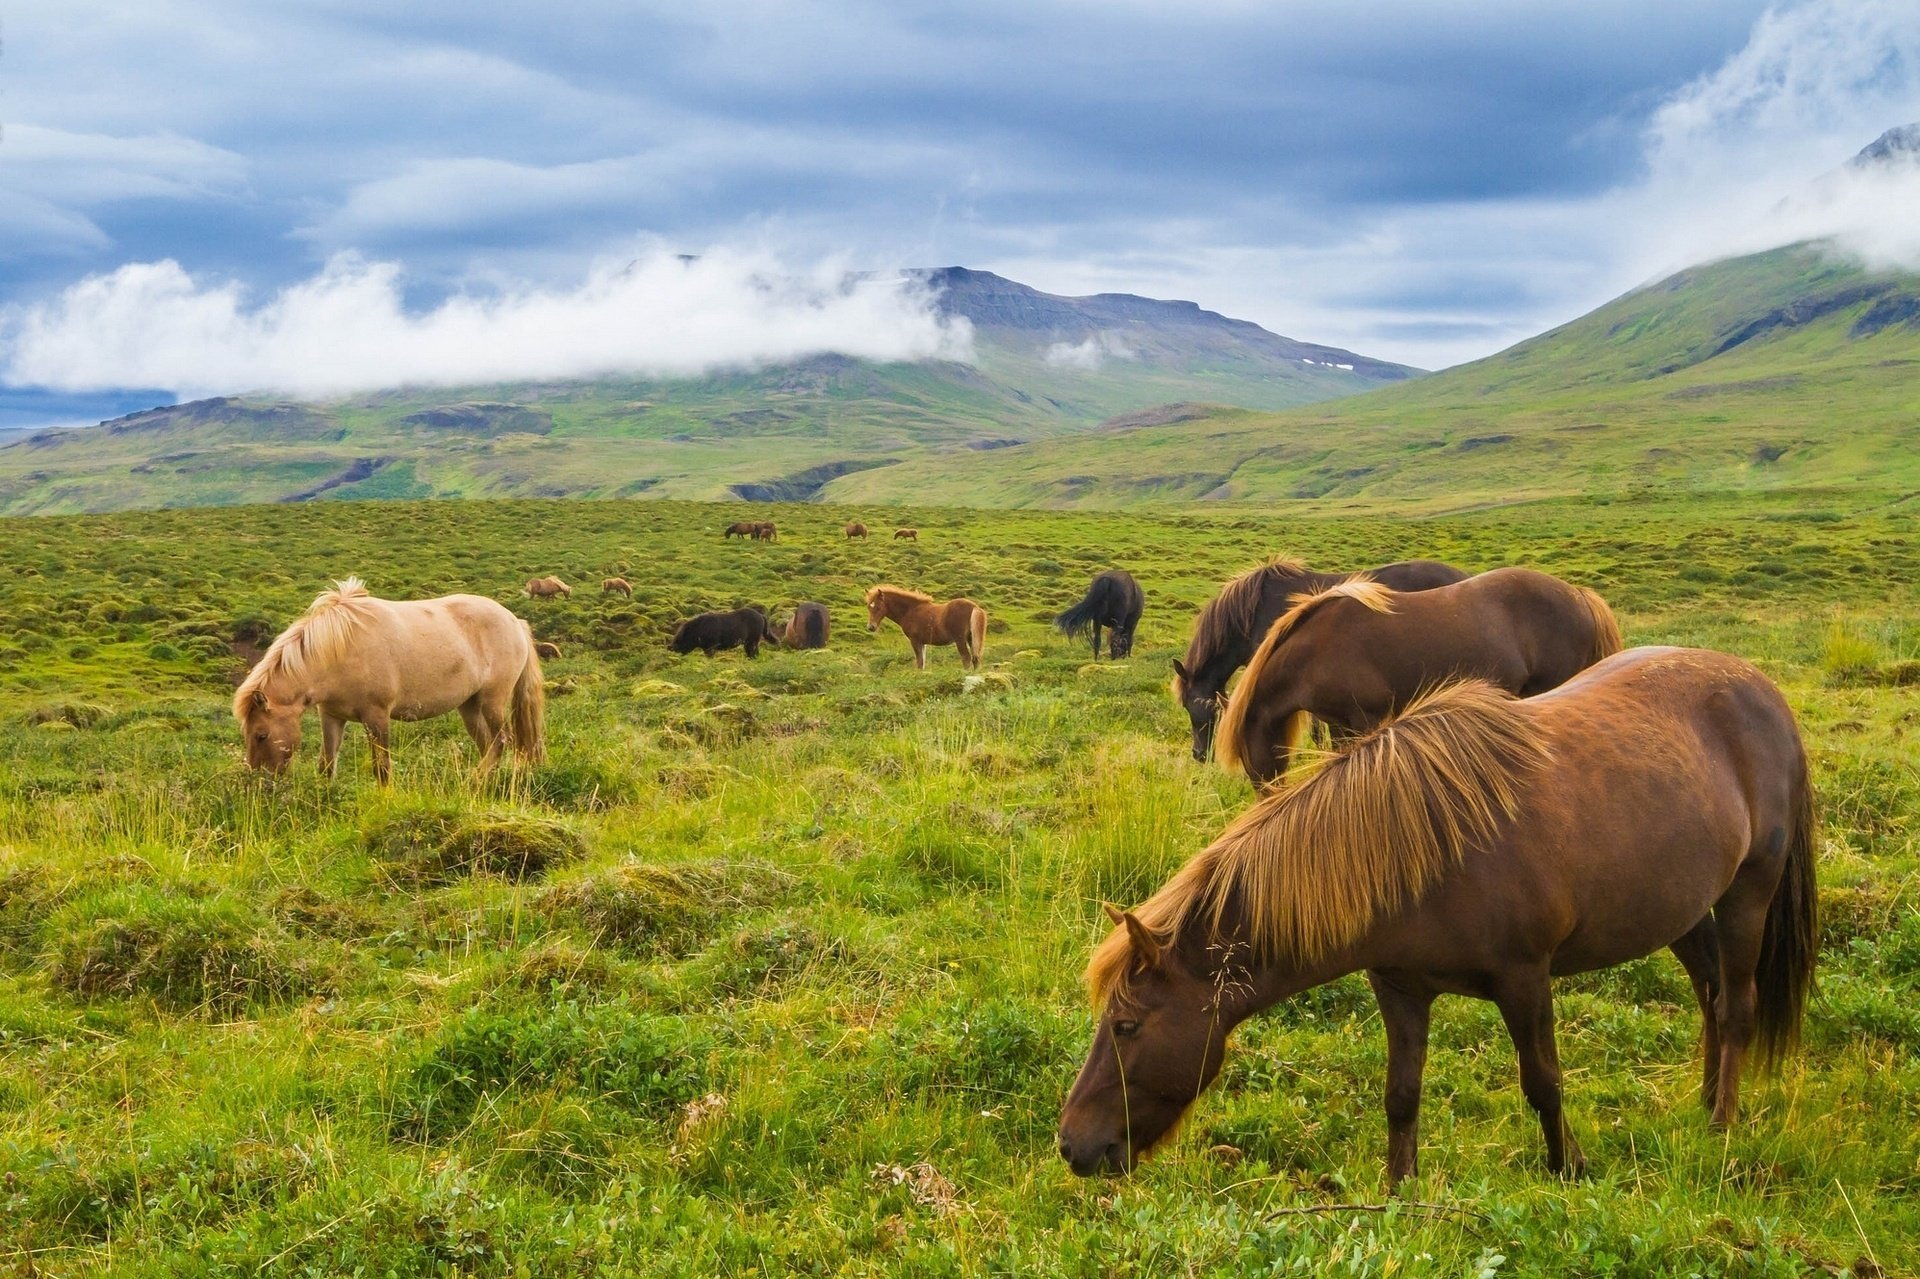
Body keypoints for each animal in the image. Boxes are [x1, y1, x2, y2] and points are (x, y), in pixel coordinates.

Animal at [234, 578, 545, 784]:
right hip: (469, 706)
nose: (258, 782)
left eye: (261, 735)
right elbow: (326, 764)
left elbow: (382, 767)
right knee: (488, 745)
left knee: (502, 740)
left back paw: (474, 782)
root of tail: (515, 621)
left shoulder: (377, 716)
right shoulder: (331, 716)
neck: (339, 651)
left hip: (492, 701)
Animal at [1060, 647, 1816, 1186]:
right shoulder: (1399, 988)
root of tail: (1761, 689)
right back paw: (1704, 1100)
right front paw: (1399, 1188)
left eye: (1126, 1025)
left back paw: (1721, 1123)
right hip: (1681, 909)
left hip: (1748, 893)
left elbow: (1543, 1080)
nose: (1072, 1143)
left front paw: (1568, 1167)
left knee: (1737, 1005)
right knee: (1709, 989)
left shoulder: (1524, 979)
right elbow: (1401, 1092)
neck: (1418, 850)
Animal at [1216, 567, 1622, 786]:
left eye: (1247, 759)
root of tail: (1580, 596)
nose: (1264, 795)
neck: (1316, 648)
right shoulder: (1340, 725)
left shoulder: (1366, 719)